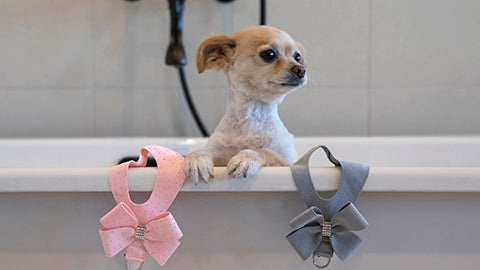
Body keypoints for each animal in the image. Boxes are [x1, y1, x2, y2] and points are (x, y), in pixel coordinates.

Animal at [184, 25, 308, 184]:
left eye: (297, 57)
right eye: (269, 54)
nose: (301, 70)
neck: (250, 117)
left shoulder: (289, 163)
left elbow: (266, 151)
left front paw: (246, 158)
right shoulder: (217, 152)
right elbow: (202, 151)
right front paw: (197, 159)